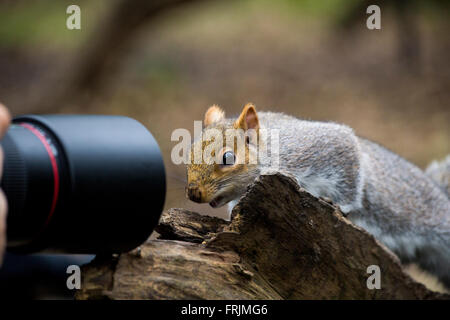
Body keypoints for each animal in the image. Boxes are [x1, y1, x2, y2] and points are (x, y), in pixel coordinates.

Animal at [185, 104, 450, 288]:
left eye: (228, 158)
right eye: (189, 152)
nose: (193, 192)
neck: (271, 148)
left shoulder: (318, 149)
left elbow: (350, 175)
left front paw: (342, 206)